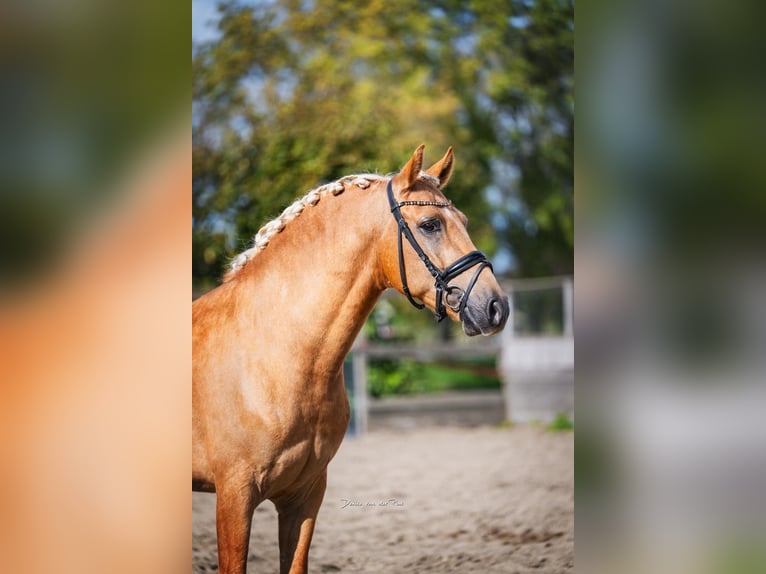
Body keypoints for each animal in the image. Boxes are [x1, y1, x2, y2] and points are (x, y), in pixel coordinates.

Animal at [192, 145, 509, 574]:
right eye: (430, 225)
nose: (496, 307)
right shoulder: (234, 498)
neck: (274, 354)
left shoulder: (305, 496)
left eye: (463, 221)